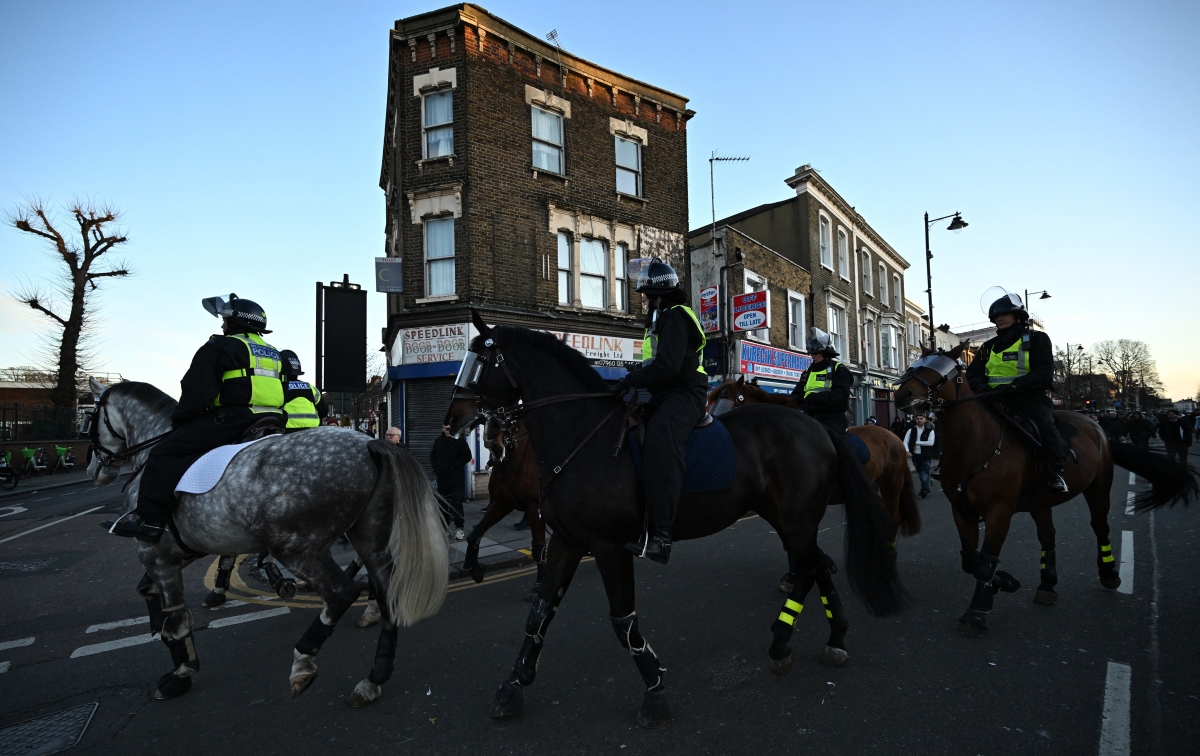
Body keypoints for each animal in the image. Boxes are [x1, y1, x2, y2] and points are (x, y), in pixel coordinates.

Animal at [85, 381, 451, 710]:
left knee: (341, 592)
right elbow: (150, 593)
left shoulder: (157, 556)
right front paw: (162, 633)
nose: (94, 471)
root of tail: (370, 445)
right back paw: (372, 680)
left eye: (90, 419)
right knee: (386, 592)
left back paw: (303, 661)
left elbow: (176, 617)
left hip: (295, 546)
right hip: (369, 536)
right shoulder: (176, 553)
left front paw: (180, 672)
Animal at [897, 350, 1195, 638]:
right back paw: (1047, 585)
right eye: (915, 364)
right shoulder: (961, 510)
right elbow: (972, 561)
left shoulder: (1000, 511)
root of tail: (1096, 426)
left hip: (1098, 487)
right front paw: (1005, 582)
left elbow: (984, 562)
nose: (902, 394)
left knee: (1100, 527)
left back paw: (1109, 573)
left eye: (939, 370)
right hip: (1040, 501)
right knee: (1048, 535)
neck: (976, 446)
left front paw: (976, 613)